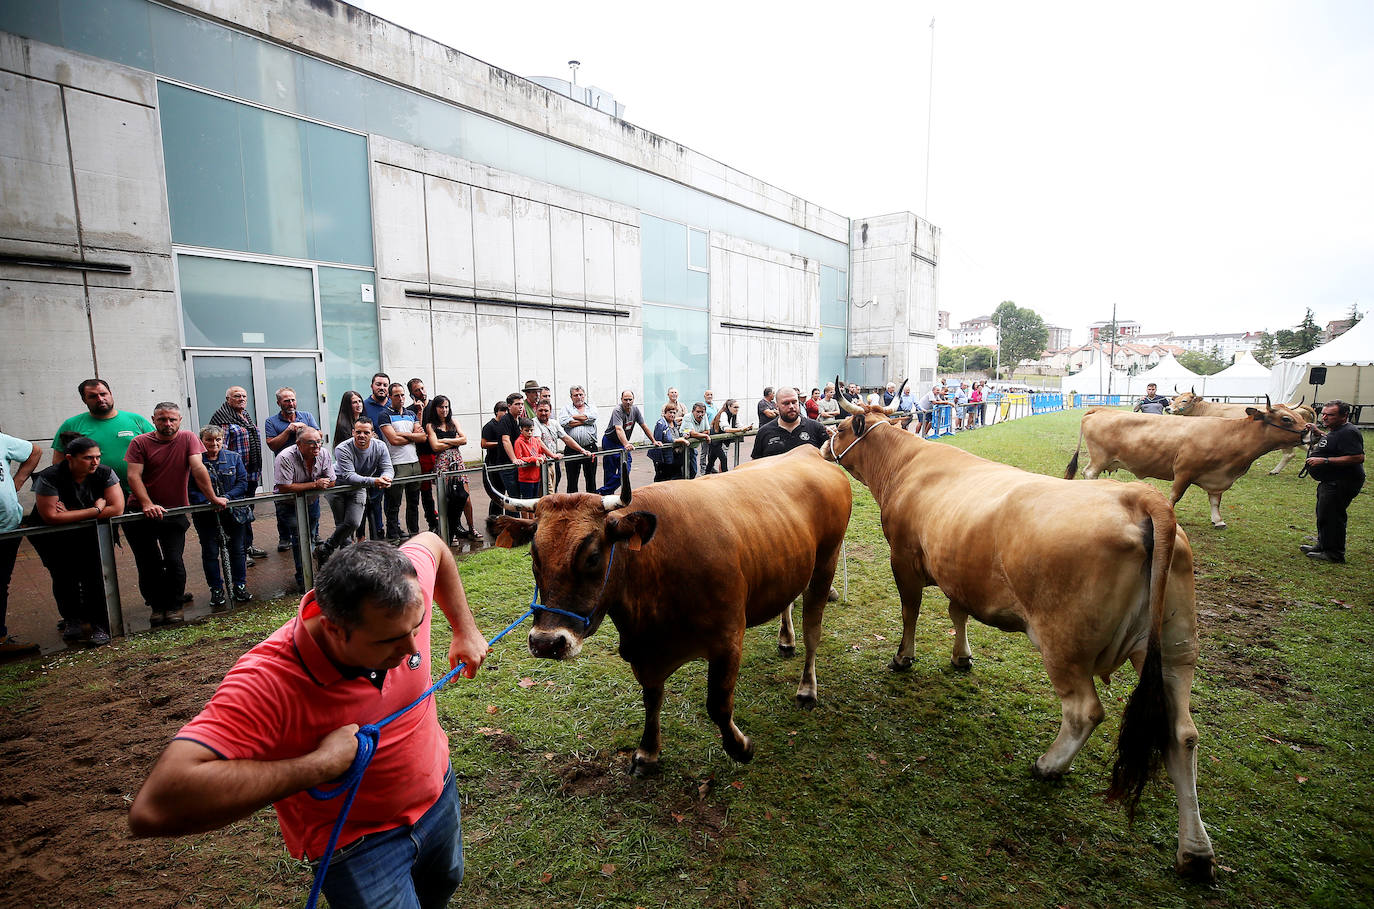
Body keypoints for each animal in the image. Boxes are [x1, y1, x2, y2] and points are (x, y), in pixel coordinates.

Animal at [483, 447, 846, 774]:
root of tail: (808, 452)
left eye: (593, 556)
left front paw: (740, 747)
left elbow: (718, 704)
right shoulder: (645, 653)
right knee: (788, 601)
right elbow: (652, 698)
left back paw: (807, 688)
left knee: (813, 630)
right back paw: (786, 640)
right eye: (534, 556)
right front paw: (648, 751)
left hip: (826, 563)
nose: (546, 643)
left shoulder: (729, 639)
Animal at [824, 392, 1214, 884]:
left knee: (1085, 711)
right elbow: (958, 613)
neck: (907, 465)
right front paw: (961, 657)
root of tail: (1140, 498)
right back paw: (1195, 851)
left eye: (839, 428)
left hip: (1064, 643)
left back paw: (1049, 765)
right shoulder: (961, 573)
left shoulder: (904, 558)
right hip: (1175, 650)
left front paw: (902, 658)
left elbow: (911, 612)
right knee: (1182, 734)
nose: (821, 447)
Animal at [1060, 398, 1308, 527]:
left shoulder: (1218, 478)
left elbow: (1215, 500)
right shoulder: (1184, 471)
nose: (1310, 431)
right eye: (1286, 419)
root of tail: (1100, 408)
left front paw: (1218, 520)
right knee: (1089, 472)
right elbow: (1175, 496)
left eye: (1299, 417)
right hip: (1100, 457)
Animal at [1165, 389, 1313, 477]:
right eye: (1175, 399)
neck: (1205, 409)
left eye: (1184, 400)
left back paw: (1274, 471)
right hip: (1298, 439)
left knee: (1289, 454)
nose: (1168, 408)